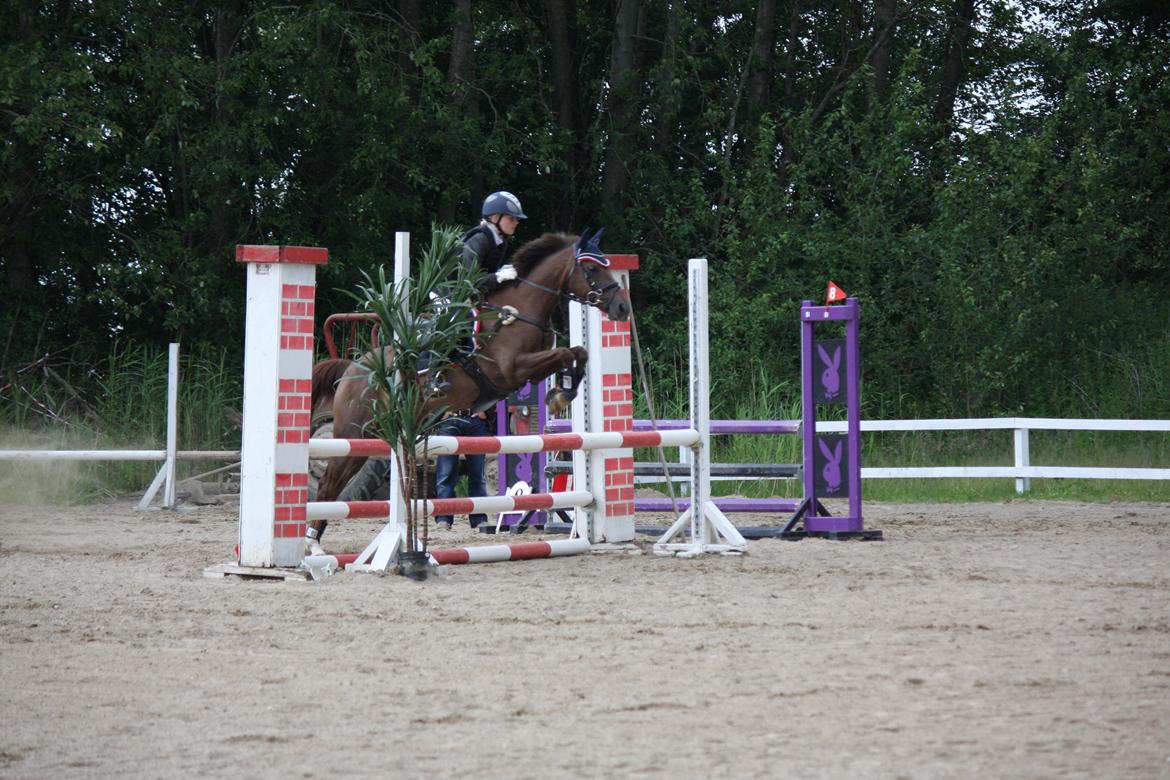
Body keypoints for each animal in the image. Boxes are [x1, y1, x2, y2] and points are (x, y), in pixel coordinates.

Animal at [306, 230, 632, 549]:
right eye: (591, 268)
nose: (622, 308)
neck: (519, 312)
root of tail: (352, 368)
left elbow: (578, 352)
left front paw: (562, 394)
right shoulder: (512, 370)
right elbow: (564, 353)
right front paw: (561, 395)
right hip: (354, 433)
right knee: (329, 483)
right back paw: (312, 541)